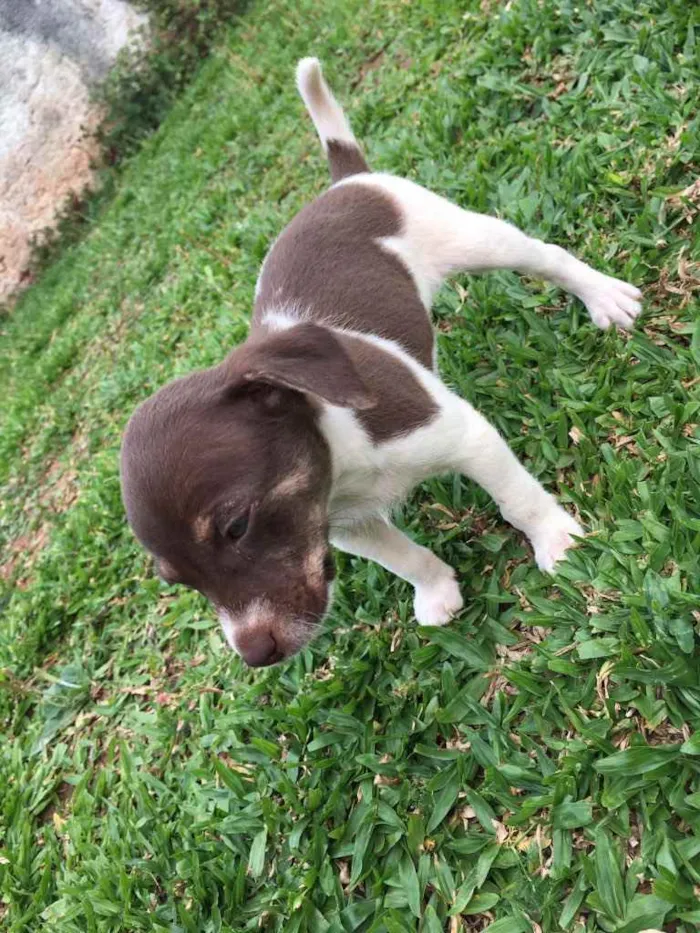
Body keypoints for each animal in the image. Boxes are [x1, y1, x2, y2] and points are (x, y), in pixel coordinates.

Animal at [119, 58, 640, 668]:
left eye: (236, 526)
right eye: (176, 580)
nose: (257, 655)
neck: (343, 454)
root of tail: (342, 182)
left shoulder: (464, 436)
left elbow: (518, 502)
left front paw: (557, 541)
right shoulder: (342, 524)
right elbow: (402, 559)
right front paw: (435, 589)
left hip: (472, 237)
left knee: (546, 257)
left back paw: (603, 297)